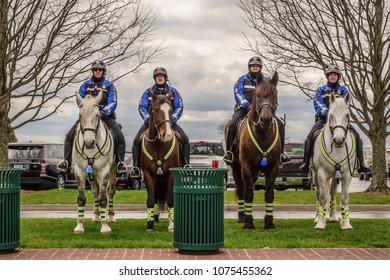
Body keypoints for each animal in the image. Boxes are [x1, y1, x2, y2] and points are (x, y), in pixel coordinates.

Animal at [72, 92, 116, 234]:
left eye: (97, 115)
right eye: (80, 115)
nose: (89, 142)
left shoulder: (104, 172)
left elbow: (103, 199)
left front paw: (105, 226)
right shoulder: (80, 172)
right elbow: (81, 199)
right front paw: (79, 226)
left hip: (113, 173)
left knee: (110, 192)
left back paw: (110, 217)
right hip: (91, 177)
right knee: (95, 191)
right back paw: (97, 216)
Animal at [141, 92, 182, 232]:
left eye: (171, 110)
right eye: (156, 110)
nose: (167, 136)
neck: (158, 145)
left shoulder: (171, 176)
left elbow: (170, 200)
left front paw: (172, 225)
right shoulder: (148, 175)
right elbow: (151, 200)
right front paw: (149, 225)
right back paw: (155, 218)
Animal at [225, 71, 280, 230]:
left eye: (274, 94)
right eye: (258, 95)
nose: (266, 120)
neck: (262, 133)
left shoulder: (273, 167)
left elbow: (269, 194)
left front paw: (269, 222)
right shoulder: (247, 167)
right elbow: (248, 193)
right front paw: (248, 223)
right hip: (236, 169)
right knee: (240, 190)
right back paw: (242, 217)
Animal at [310, 92, 356, 230]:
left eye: (347, 115)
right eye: (330, 115)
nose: (339, 140)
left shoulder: (346, 175)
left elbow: (344, 198)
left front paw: (346, 223)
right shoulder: (322, 174)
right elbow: (322, 197)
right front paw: (320, 222)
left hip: (335, 177)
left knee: (333, 192)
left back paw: (333, 217)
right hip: (315, 175)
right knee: (318, 193)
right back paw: (318, 217)